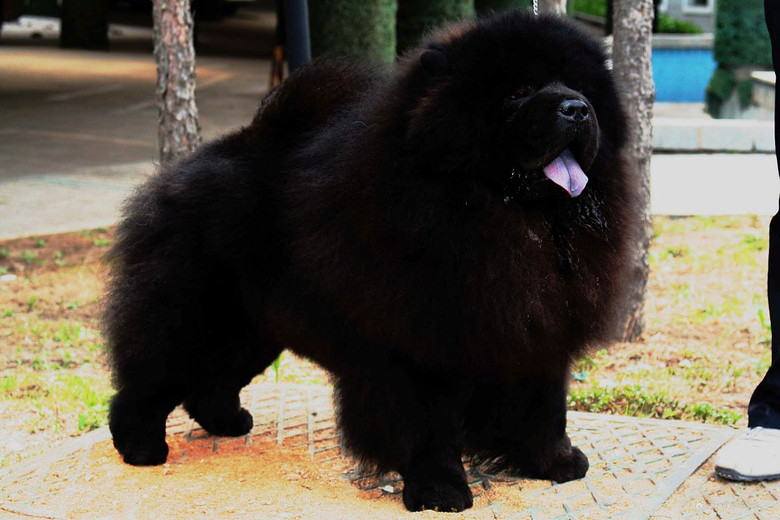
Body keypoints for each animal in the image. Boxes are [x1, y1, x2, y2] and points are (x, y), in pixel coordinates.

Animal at [105, 11, 632, 512]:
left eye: (581, 88)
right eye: (520, 91)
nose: (576, 108)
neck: (513, 221)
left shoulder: (538, 332)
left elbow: (544, 410)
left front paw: (557, 463)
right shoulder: (417, 349)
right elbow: (428, 430)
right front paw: (440, 491)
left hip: (252, 333)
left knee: (210, 382)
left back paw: (228, 422)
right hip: (194, 320)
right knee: (148, 381)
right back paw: (141, 447)